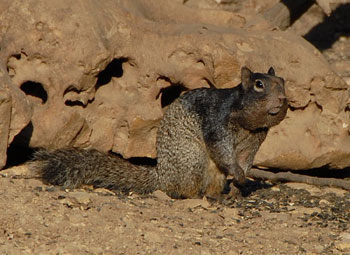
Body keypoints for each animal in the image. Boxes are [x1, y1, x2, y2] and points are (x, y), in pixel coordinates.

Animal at [30, 66, 288, 199]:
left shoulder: (254, 142)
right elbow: (224, 152)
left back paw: (219, 196)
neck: (249, 126)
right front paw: (237, 175)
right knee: (183, 189)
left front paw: (239, 185)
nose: (283, 99)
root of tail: (162, 176)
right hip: (192, 158)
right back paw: (195, 196)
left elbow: (246, 161)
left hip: (212, 173)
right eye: (259, 85)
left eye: (283, 80)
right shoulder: (217, 124)